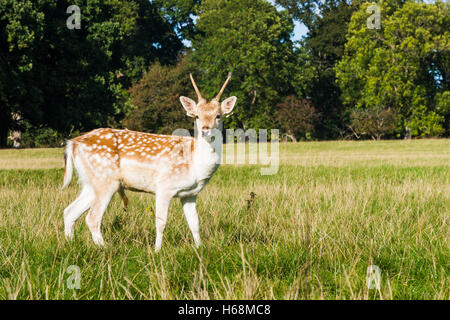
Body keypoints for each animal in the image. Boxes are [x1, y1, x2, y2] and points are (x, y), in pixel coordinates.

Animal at [62, 74, 237, 251]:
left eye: (218, 115)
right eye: (197, 116)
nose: (205, 129)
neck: (194, 164)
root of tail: (73, 144)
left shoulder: (190, 194)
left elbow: (195, 224)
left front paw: (199, 248)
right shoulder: (164, 186)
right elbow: (161, 222)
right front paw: (157, 250)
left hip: (90, 182)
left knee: (69, 211)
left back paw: (70, 244)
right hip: (105, 180)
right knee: (92, 218)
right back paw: (105, 249)